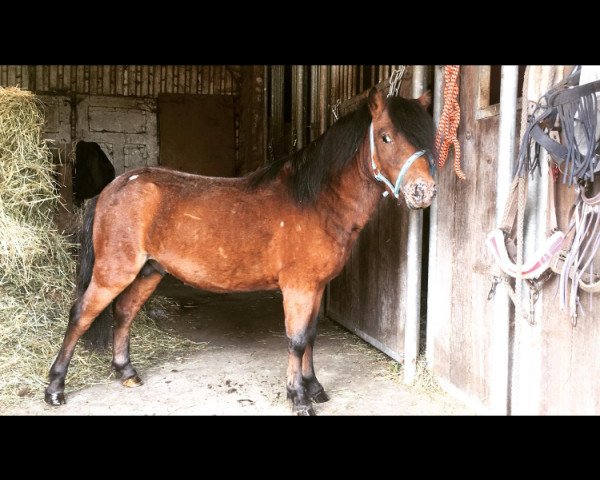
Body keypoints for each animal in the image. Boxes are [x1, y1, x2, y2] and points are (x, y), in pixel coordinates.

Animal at [43, 87, 436, 416]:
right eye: (386, 137)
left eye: (427, 139)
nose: (423, 192)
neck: (315, 202)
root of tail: (113, 187)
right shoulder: (298, 288)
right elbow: (296, 341)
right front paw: (299, 399)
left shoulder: (315, 287)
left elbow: (311, 336)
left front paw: (314, 388)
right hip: (115, 271)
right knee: (81, 314)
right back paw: (55, 389)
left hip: (149, 270)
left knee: (124, 312)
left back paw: (126, 372)